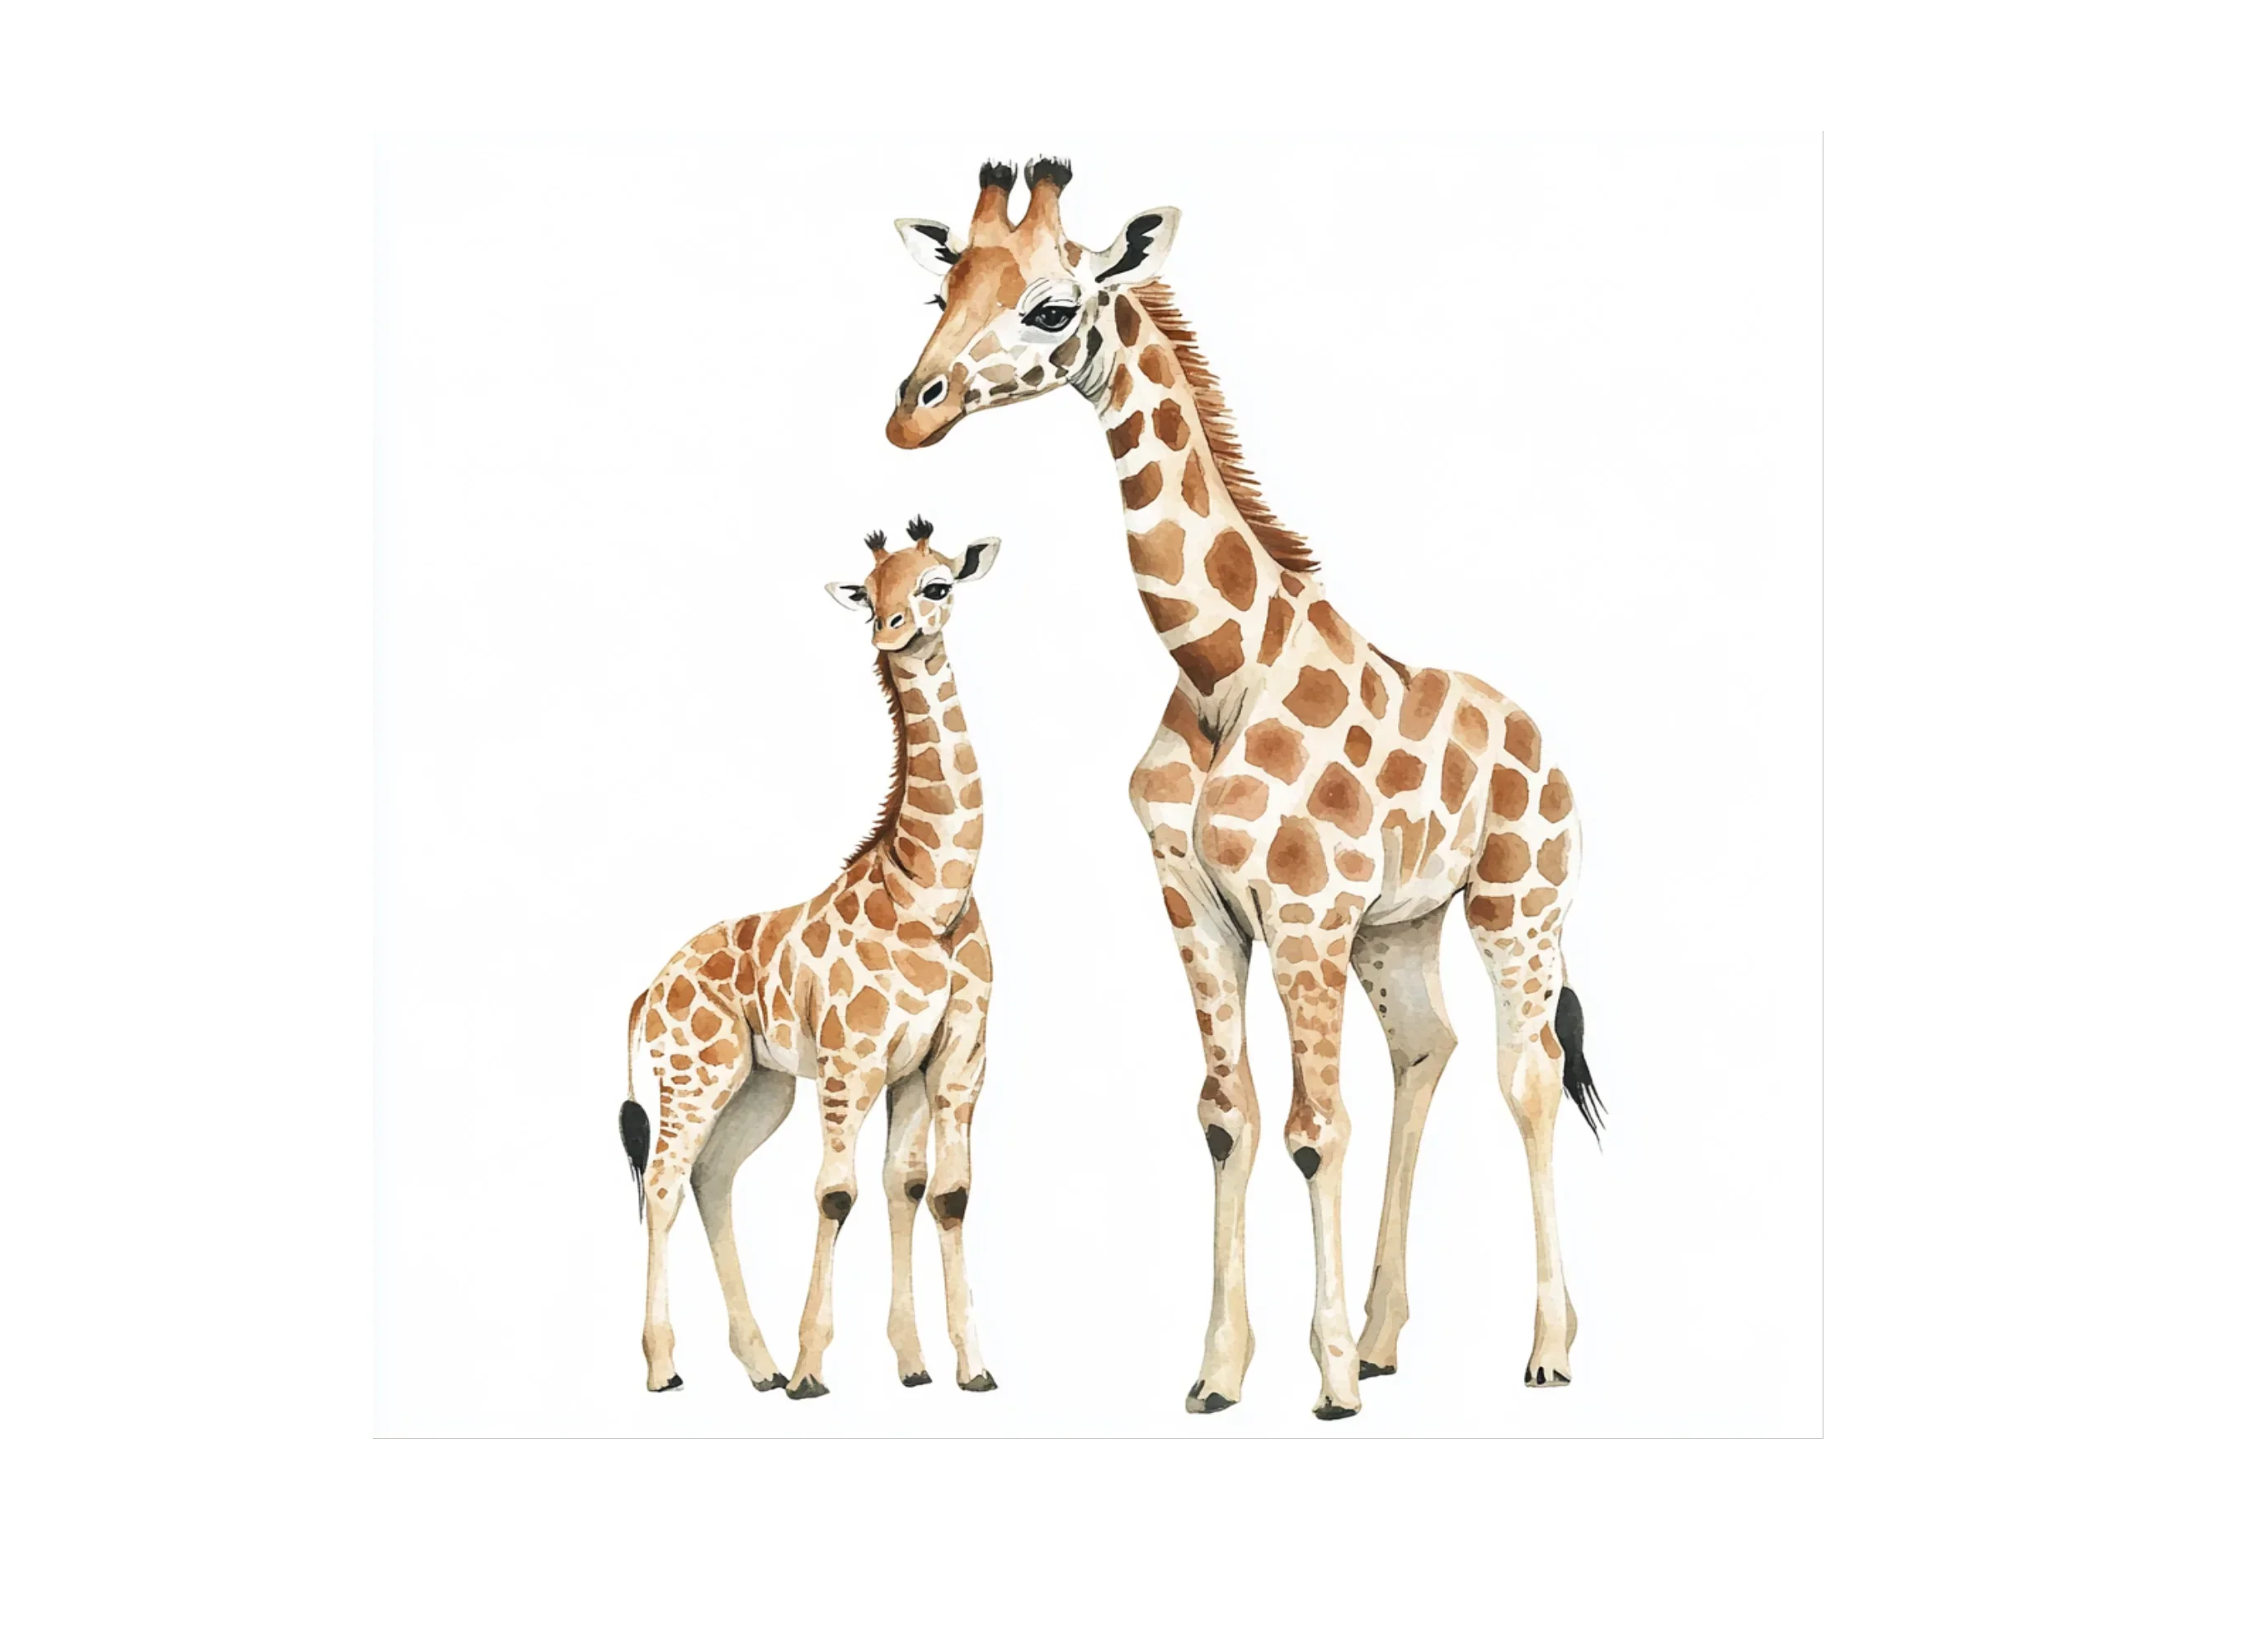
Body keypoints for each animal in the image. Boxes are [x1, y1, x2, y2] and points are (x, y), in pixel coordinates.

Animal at [617, 519, 1001, 1400]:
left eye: (936, 584)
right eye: (871, 591)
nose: (890, 631)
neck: (932, 892)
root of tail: (645, 994)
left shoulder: (948, 1061)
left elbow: (933, 1191)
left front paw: (947, 1365)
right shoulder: (852, 1062)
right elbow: (836, 1195)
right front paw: (813, 1370)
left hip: (759, 1088)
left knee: (711, 1179)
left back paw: (756, 1367)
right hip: (695, 1077)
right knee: (662, 1185)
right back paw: (667, 1369)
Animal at [883, 160, 1604, 1419]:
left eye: (1052, 307)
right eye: (942, 289)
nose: (910, 412)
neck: (1219, 667)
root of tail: (1542, 740)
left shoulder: (1305, 913)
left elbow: (1317, 1127)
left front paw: (1327, 1384)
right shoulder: (1199, 907)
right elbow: (1230, 1118)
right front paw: (1222, 1372)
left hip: (1519, 904)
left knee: (1528, 1076)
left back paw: (1545, 1349)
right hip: (1398, 926)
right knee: (1425, 1050)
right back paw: (1385, 1335)